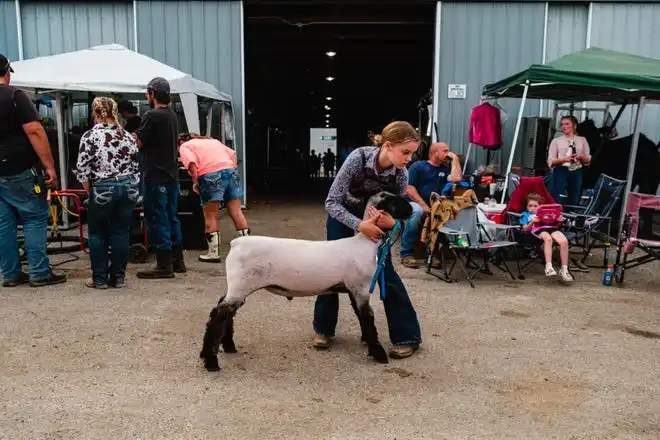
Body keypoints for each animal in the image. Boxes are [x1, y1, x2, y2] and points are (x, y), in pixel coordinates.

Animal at [199, 192, 410, 372]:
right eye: (394, 200)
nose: (410, 210)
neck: (364, 243)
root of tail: (237, 244)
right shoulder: (361, 288)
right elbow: (368, 318)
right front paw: (379, 354)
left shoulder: (353, 290)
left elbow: (361, 317)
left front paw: (368, 344)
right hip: (240, 285)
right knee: (218, 315)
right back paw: (210, 361)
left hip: (237, 286)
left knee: (225, 311)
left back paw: (228, 346)